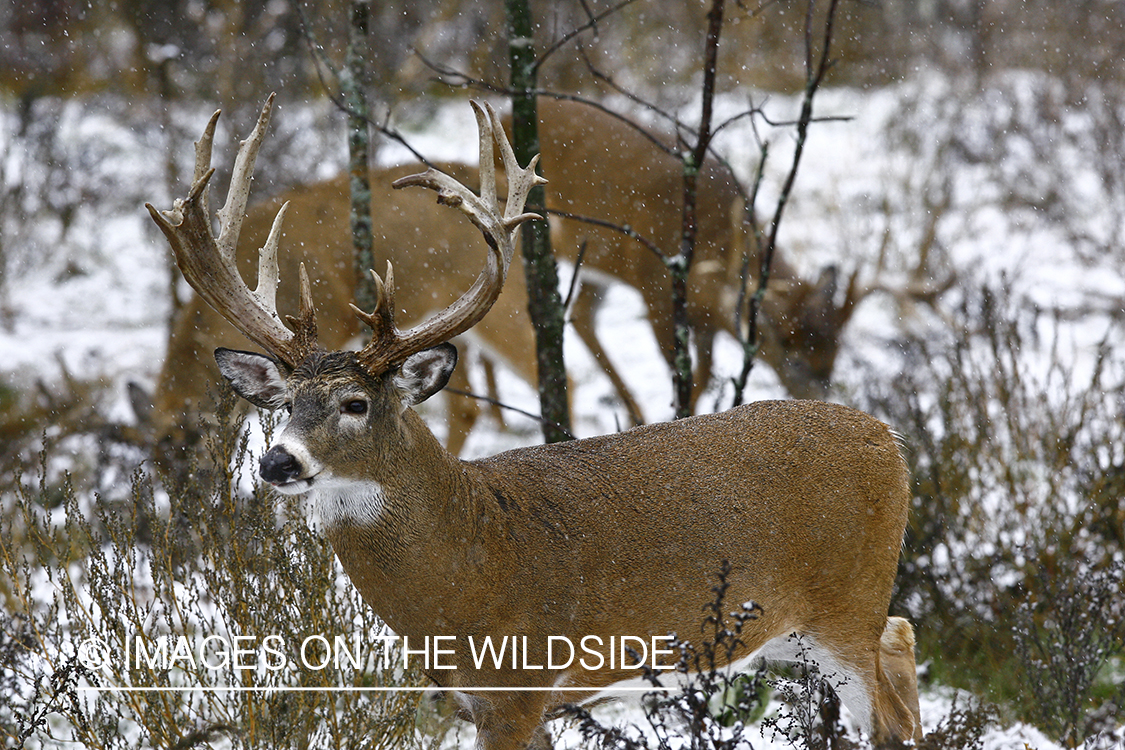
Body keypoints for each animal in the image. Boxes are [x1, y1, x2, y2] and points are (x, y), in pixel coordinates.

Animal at [147, 96, 922, 750]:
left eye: (355, 404)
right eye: (282, 405)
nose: (278, 463)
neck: (470, 559)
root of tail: (889, 440)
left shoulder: (517, 686)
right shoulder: (488, 701)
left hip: (845, 602)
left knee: (889, 711)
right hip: (798, 631)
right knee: (904, 644)